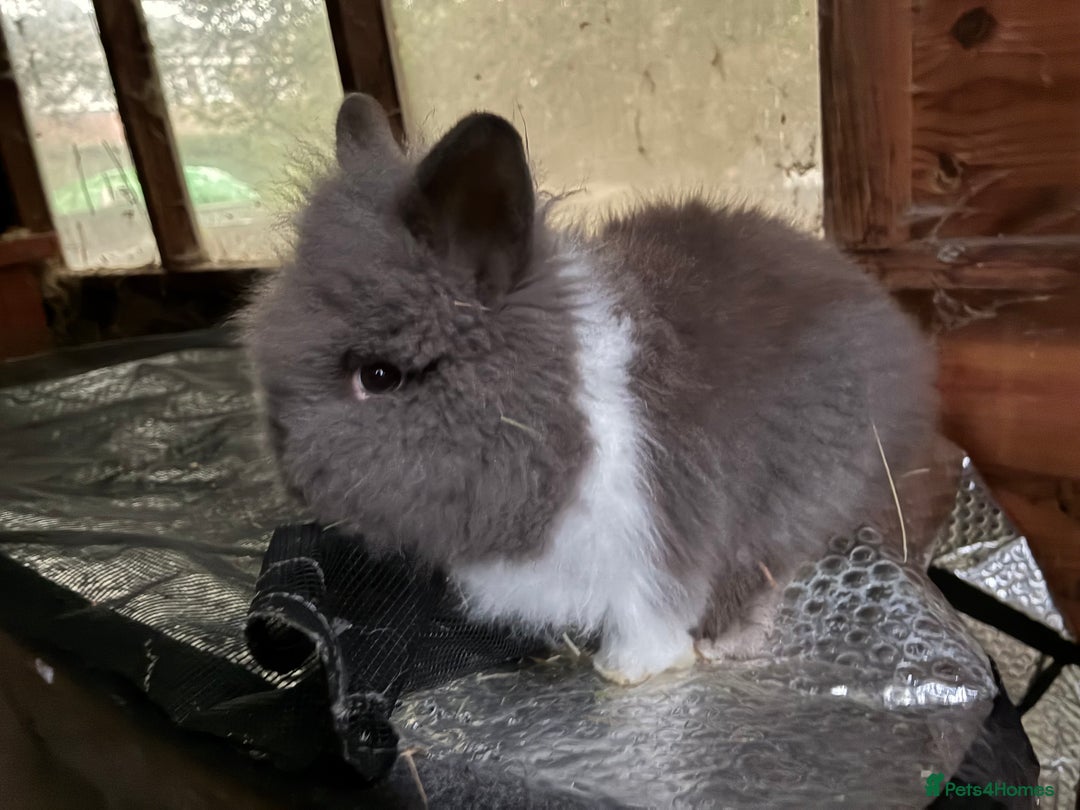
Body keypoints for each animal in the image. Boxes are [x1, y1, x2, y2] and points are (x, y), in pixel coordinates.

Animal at [243, 93, 938, 685]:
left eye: (378, 376)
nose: (293, 483)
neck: (556, 409)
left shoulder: (652, 538)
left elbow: (651, 620)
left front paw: (625, 673)